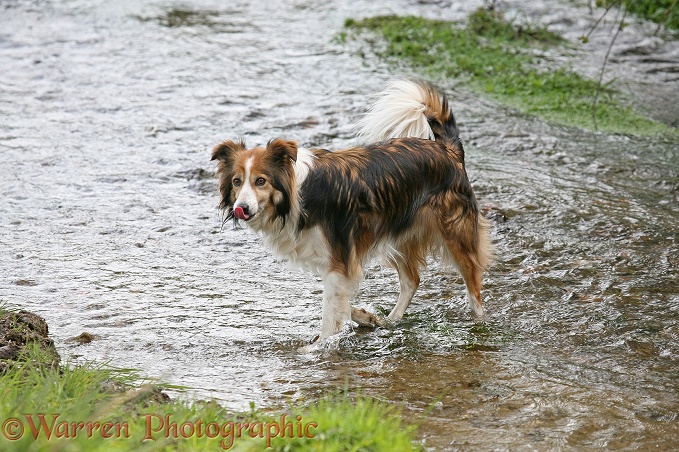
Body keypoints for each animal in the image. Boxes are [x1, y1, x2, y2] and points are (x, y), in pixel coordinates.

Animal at [211, 80, 488, 342]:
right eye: (237, 182)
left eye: (260, 181)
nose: (241, 208)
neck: (296, 193)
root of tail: (448, 149)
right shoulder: (339, 262)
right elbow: (340, 304)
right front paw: (364, 317)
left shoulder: (338, 261)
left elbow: (329, 314)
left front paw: (317, 348)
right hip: (397, 233)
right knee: (412, 280)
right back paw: (389, 321)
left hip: (454, 233)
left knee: (473, 281)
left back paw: (479, 322)